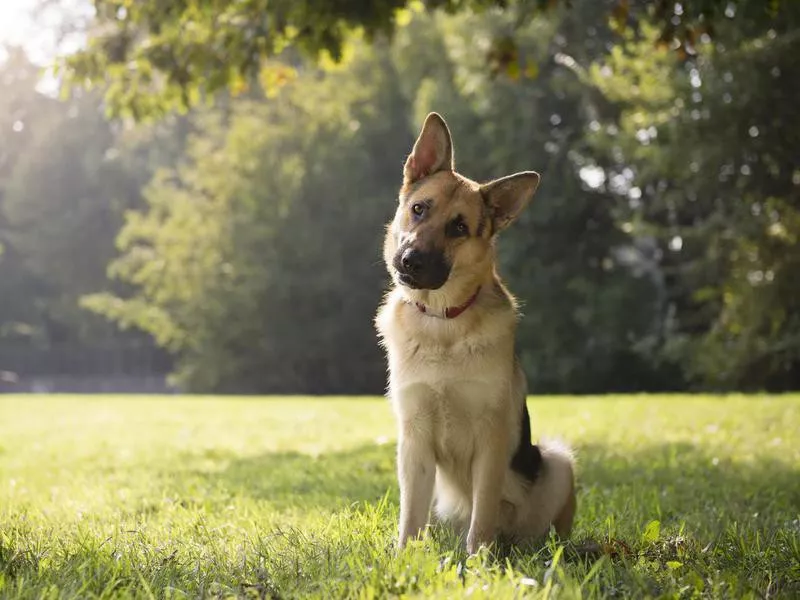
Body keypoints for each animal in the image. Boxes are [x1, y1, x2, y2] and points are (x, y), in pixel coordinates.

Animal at [376, 112, 576, 552]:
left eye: (459, 228)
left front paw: (480, 560)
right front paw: (404, 557)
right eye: (419, 209)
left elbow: (482, 514)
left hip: (557, 461)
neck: (442, 322)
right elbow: (410, 516)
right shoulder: (413, 441)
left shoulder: (491, 441)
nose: (410, 261)